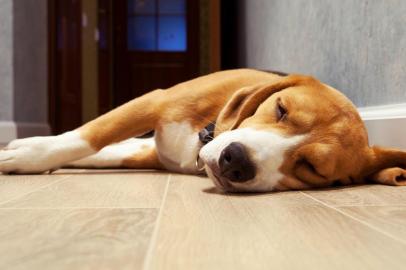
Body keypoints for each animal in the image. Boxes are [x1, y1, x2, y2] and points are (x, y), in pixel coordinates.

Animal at [0, 69, 406, 192]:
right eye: (281, 109)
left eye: (313, 169)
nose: (235, 161)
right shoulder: (155, 101)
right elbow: (88, 137)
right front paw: (29, 153)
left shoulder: (149, 153)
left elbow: (102, 150)